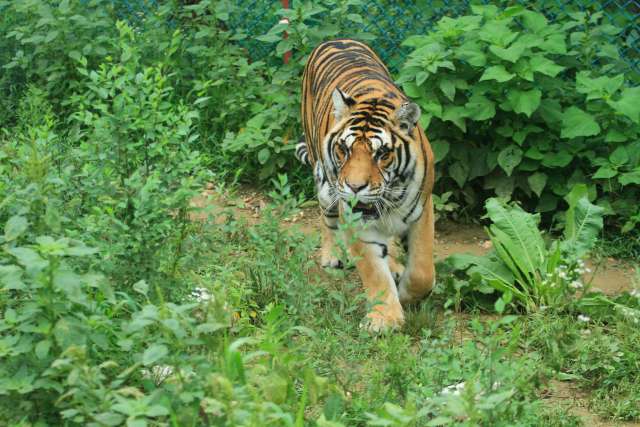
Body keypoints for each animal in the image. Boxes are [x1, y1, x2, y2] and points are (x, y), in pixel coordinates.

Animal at [298, 38, 438, 332]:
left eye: (381, 154)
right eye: (344, 149)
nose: (355, 187)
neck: (391, 195)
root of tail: (334, 39)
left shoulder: (422, 209)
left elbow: (422, 271)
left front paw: (406, 294)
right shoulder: (355, 218)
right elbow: (374, 272)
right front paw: (385, 318)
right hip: (324, 184)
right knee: (326, 219)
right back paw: (331, 255)